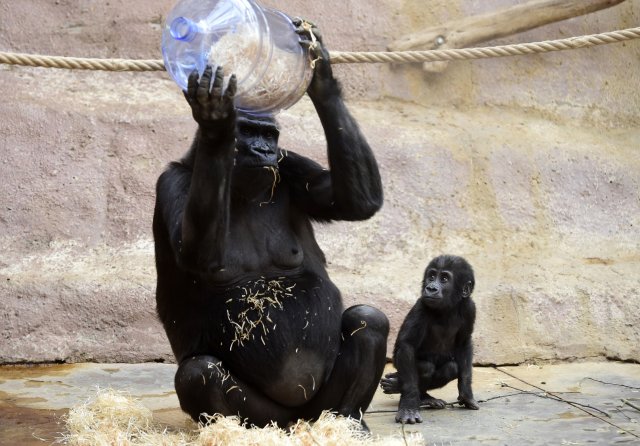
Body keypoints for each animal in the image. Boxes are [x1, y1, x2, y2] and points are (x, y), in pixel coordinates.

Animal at [152, 21, 388, 428]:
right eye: (250, 133)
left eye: (270, 135)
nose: (264, 151)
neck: (239, 185)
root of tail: (293, 422)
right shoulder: (171, 184)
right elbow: (197, 254)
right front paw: (217, 122)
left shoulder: (290, 165)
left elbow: (356, 202)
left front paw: (320, 75)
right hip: (267, 416)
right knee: (199, 373)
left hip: (316, 407)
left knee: (368, 321)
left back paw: (347, 422)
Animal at [378, 254, 478, 426]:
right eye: (431, 276)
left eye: (444, 279)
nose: (431, 288)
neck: (448, 307)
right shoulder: (421, 306)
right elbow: (407, 346)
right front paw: (409, 406)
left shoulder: (470, 308)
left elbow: (464, 343)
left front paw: (467, 395)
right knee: (426, 367)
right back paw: (415, 394)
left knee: (451, 367)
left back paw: (418, 394)